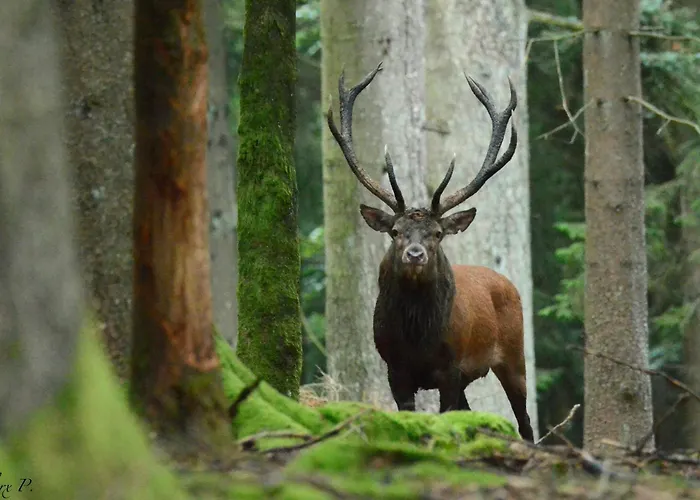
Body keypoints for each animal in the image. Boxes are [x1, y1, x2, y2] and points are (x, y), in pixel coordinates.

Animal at [326, 62, 534, 442]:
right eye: (395, 232)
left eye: (437, 234)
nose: (415, 254)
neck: (418, 339)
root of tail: (508, 284)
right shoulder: (395, 369)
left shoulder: (452, 367)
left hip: (514, 355)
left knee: (524, 420)